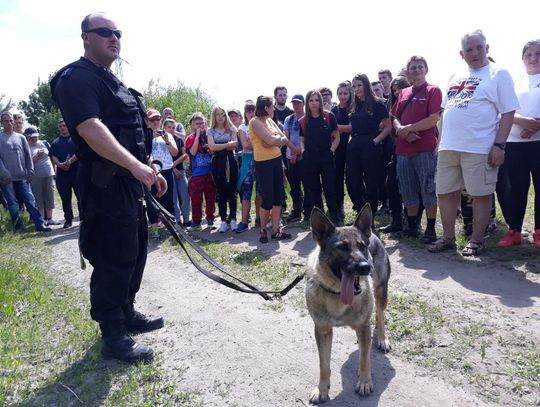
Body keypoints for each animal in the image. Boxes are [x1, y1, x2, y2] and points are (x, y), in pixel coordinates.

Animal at [306, 206, 390, 404]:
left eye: (362, 246)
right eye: (342, 247)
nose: (366, 267)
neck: (337, 295)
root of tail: (373, 234)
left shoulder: (363, 325)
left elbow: (365, 360)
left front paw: (365, 382)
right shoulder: (322, 331)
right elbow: (324, 365)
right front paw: (321, 390)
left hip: (381, 293)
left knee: (380, 315)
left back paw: (382, 339)